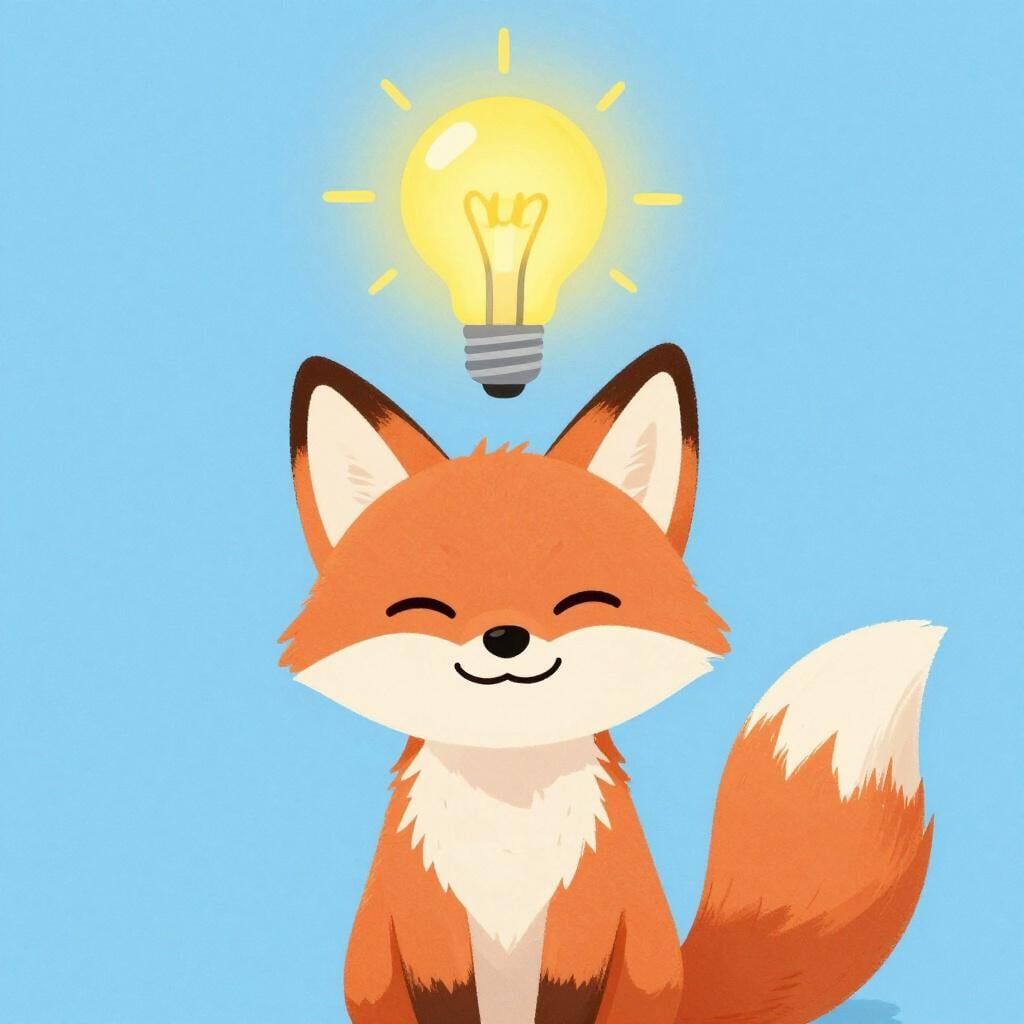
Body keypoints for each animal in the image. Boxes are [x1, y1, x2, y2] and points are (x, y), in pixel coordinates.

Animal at [279, 344, 944, 1024]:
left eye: (581, 601)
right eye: (426, 607)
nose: (505, 636)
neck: (509, 812)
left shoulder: (591, 923)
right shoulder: (424, 932)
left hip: (651, 974)